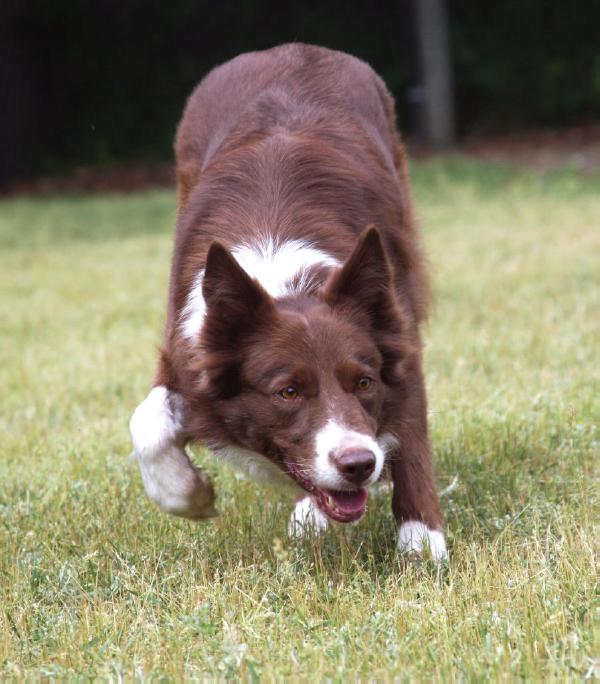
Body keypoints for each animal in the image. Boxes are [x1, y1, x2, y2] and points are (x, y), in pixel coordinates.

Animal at [130, 42, 446, 560]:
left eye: (363, 382)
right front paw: (188, 494)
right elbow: (148, 420)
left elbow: (410, 436)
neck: (285, 281)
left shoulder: (398, 338)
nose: (360, 464)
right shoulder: (189, 348)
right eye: (288, 392)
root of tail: (290, 48)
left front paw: (422, 543)